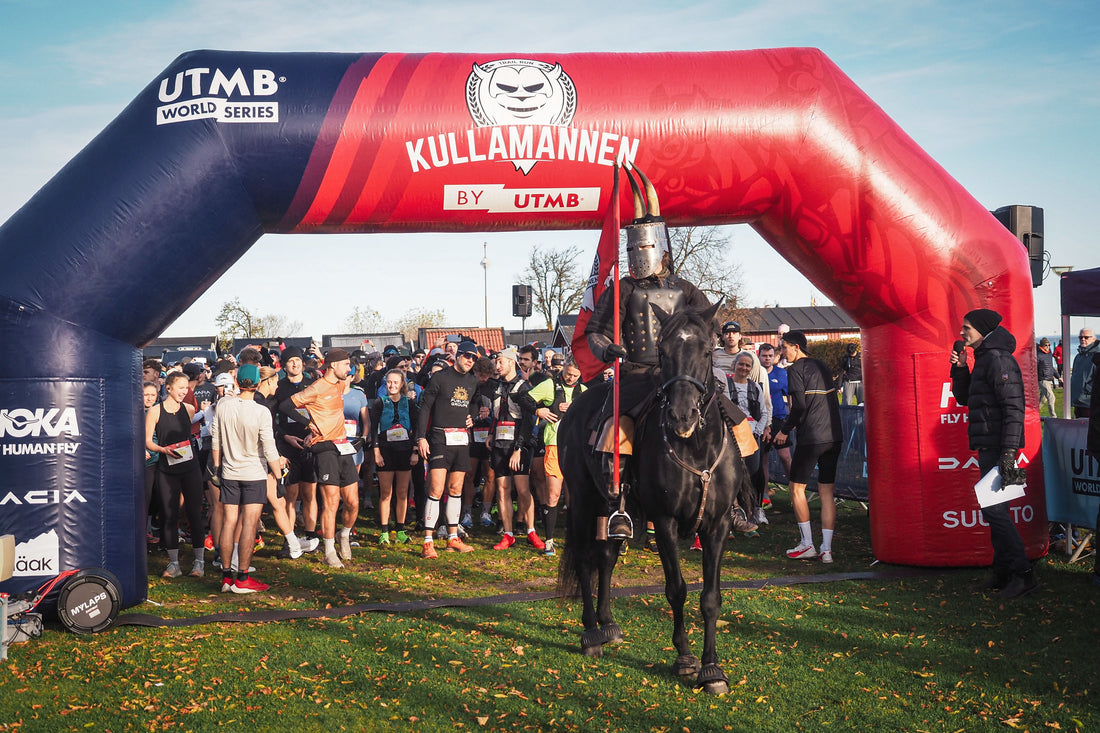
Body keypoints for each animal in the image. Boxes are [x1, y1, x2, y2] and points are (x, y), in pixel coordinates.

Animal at [558, 301, 748, 691]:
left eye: (707, 351)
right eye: (663, 352)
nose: (681, 416)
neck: (695, 448)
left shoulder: (717, 525)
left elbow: (710, 598)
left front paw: (712, 669)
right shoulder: (664, 522)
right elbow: (677, 589)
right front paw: (686, 659)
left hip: (613, 508)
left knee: (606, 557)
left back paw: (608, 625)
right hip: (583, 501)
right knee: (584, 560)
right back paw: (591, 634)